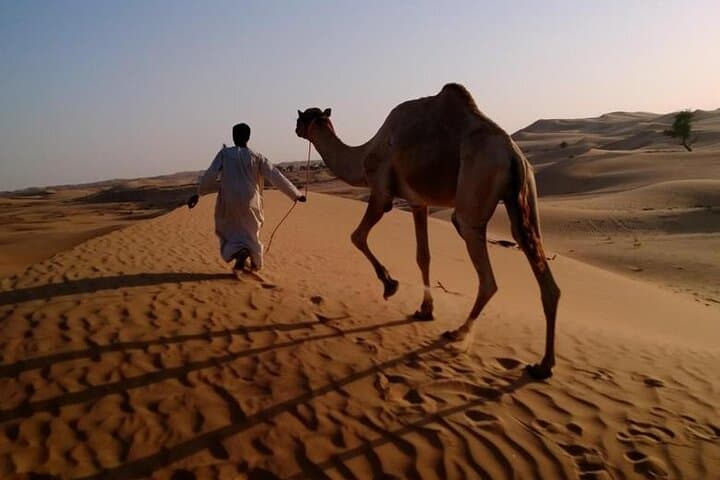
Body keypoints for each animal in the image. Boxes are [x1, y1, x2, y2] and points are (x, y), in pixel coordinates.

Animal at [295, 83, 560, 379]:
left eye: (301, 117)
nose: (295, 128)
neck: (363, 155)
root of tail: (513, 155)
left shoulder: (381, 192)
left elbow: (357, 236)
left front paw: (390, 285)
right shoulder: (418, 202)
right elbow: (423, 256)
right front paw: (425, 309)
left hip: (475, 192)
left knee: (486, 274)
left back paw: (458, 332)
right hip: (525, 197)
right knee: (536, 256)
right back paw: (543, 365)